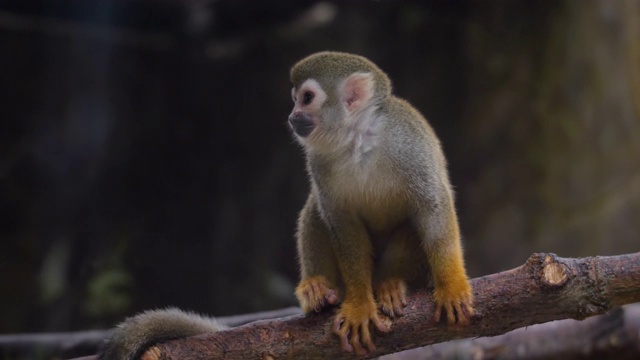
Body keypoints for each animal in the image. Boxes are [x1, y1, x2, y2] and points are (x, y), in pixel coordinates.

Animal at [292, 50, 476, 354]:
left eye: (306, 98)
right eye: (294, 99)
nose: (293, 116)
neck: (357, 137)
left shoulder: (408, 144)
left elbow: (432, 206)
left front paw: (452, 286)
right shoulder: (317, 161)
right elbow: (343, 226)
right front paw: (359, 305)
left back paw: (388, 283)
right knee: (317, 206)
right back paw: (318, 289)